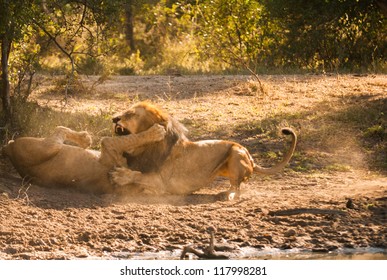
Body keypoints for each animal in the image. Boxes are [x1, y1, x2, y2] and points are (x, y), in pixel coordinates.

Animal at [3, 123, 167, 194]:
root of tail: (9, 149)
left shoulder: (109, 147)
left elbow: (131, 139)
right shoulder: (109, 146)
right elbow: (132, 138)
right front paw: (157, 131)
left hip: (47, 147)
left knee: (60, 130)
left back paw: (84, 139)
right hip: (48, 147)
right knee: (60, 129)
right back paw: (85, 139)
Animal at [110, 101, 298, 199]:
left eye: (131, 114)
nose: (113, 118)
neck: (144, 147)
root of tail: (252, 158)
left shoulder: (162, 181)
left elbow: (139, 175)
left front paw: (120, 175)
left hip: (236, 153)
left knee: (237, 189)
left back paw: (227, 194)